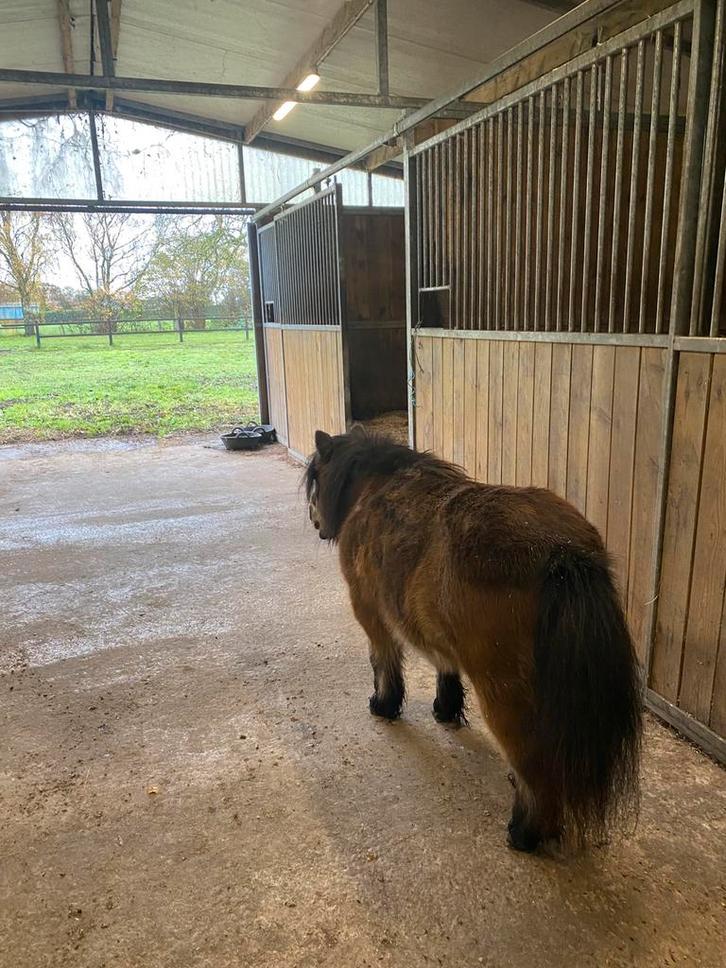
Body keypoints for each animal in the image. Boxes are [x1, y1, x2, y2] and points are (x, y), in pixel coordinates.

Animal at [305, 427, 642, 853]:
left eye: (316, 481)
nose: (315, 521)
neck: (375, 488)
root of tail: (564, 554)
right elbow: (444, 664)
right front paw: (445, 709)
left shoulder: (370, 613)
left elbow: (383, 662)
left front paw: (383, 705)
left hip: (504, 694)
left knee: (534, 764)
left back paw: (525, 833)